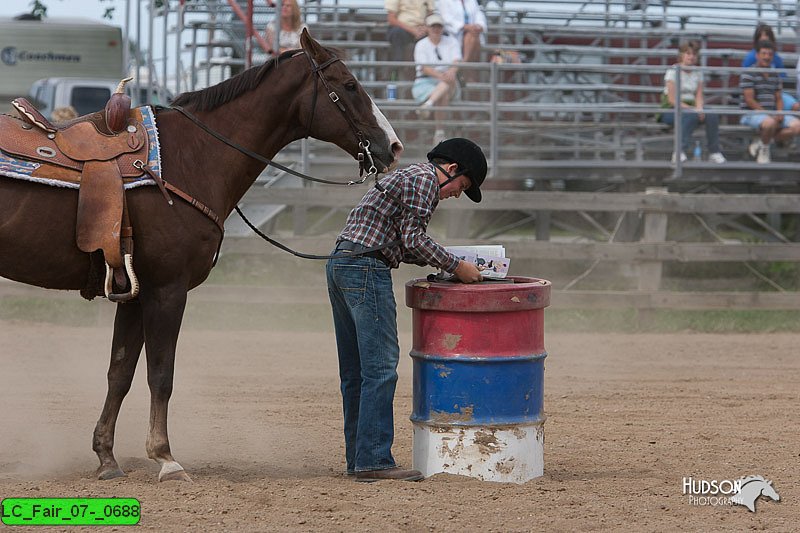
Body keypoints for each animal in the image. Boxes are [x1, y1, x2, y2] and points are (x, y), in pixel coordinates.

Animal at [0, 30, 400, 482]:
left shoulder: (135, 293)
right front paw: (165, 458)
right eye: (349, 85)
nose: (392, 146)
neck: (191, 156)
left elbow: (120, 373)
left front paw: (106, 457)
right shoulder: (167, 289)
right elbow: (161, 374)